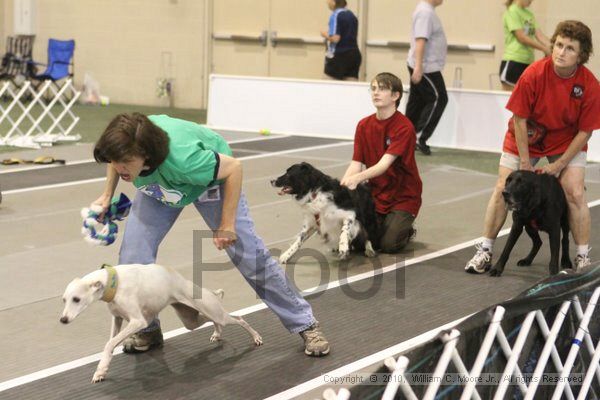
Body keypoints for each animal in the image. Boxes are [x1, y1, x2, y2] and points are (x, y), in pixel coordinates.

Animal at [60, 264, 262, 382]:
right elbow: (109, 344)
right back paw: (217, 334)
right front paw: (101, 370)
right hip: (191, 319)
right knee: (213, 321)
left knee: (238, 319)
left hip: (213, 312)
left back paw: (256, 337)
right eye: (64, 300)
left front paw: (101, 369)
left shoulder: (138, 321)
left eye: (76, 299)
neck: (114, 282)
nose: (63, 320)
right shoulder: (117, 319)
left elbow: (110, 343)